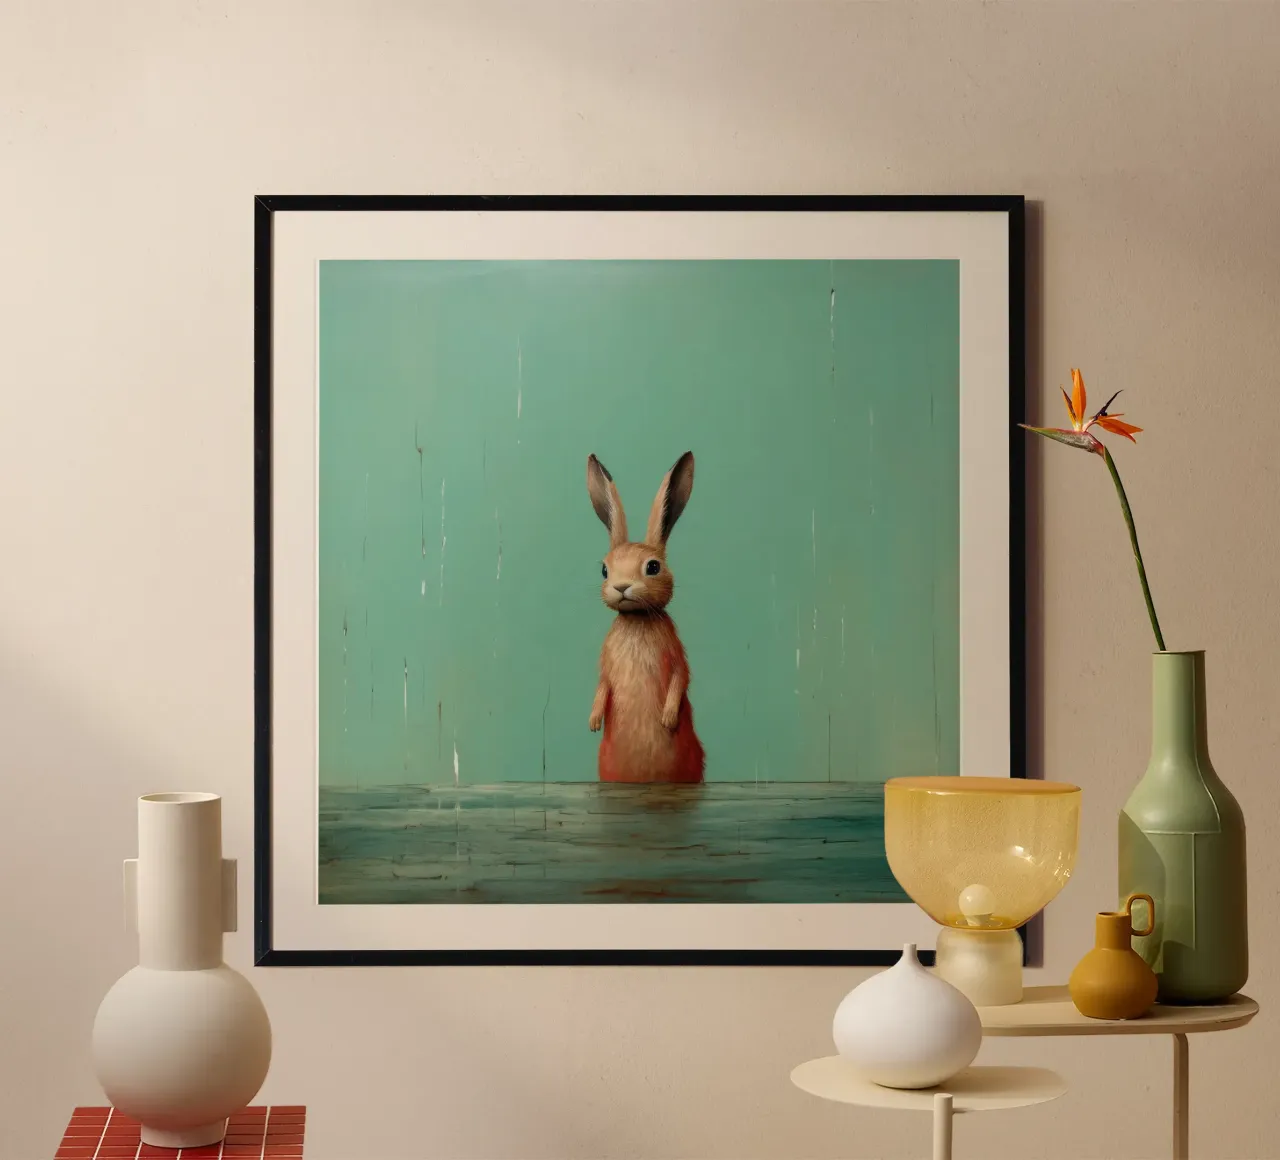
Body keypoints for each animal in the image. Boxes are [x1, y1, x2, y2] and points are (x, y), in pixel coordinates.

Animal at [585, 451, 706, 784]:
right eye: (604, 570)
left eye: (653, 567)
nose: (621, 587)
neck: (636, 618)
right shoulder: (605, 667)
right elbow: (602, 685)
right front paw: (593, 721)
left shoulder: (677, 655)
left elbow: (681, 678)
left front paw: (667, 719)